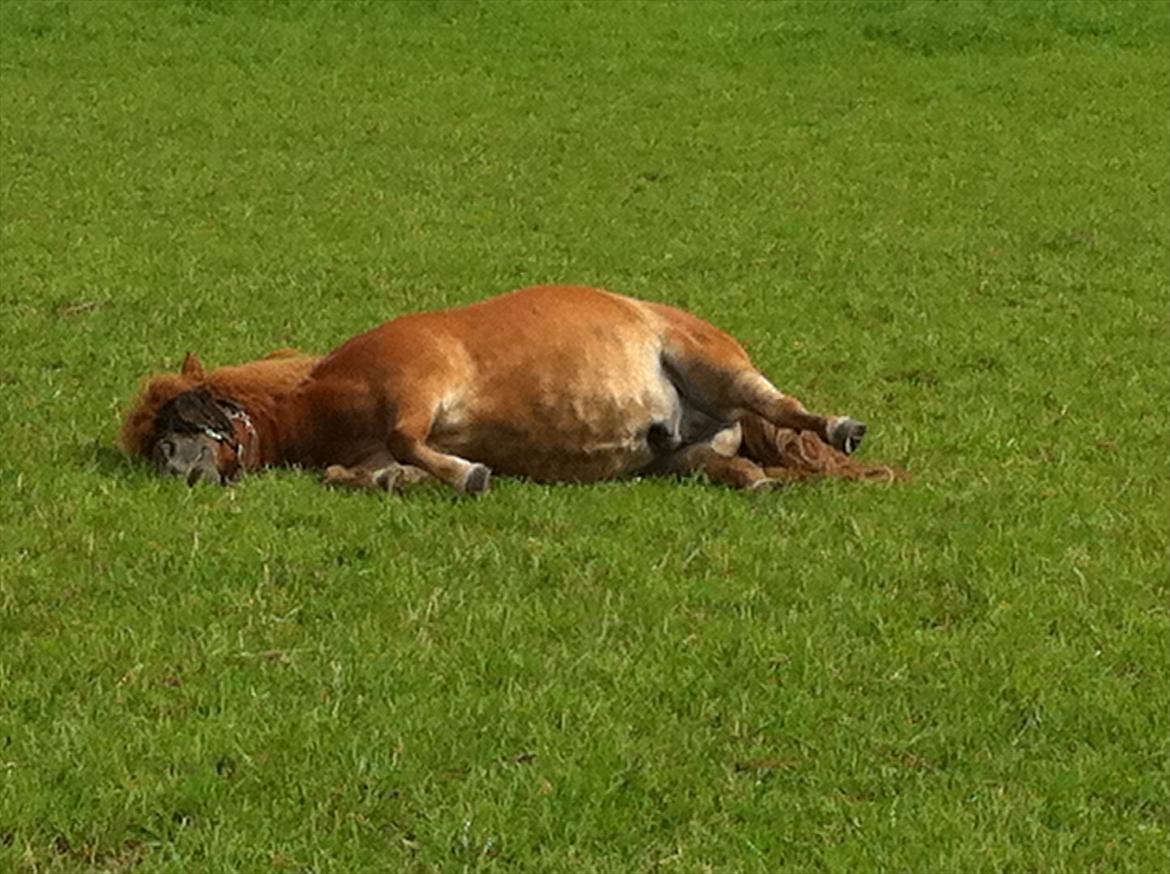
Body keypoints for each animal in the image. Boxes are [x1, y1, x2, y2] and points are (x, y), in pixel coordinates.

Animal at [121, 285, 893, 491]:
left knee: (781, 405)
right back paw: (753, 481)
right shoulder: (366, 446)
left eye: (184, 414)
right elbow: (355, 473)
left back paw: (840, 427)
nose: (173, 465)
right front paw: (398, 481)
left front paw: (466, 473)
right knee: (724, 461)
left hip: (715, 363)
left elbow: (412, 439)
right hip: (685, 452)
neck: (326, 395)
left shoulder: (417, 386)